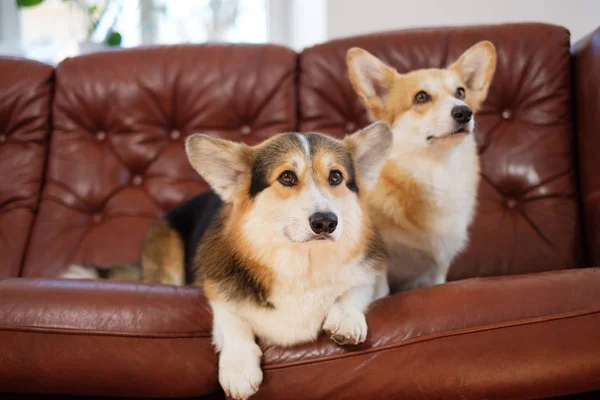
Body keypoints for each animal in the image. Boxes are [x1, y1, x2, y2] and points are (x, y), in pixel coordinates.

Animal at [62, 122, 394, 400]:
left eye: (336, 176)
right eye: (287, 177)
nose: (326, 222)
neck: (302, 262)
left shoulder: (374, 279)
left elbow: (356, 290)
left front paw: (346, 318)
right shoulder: (217, 291)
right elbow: (233, 320)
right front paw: (238, 367)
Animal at [346, 42, 496, 292]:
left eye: (461, 93)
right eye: (421, 97)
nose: (464, 112)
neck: (437, 169)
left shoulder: (438, 268)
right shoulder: (380, 266)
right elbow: (382, 293)